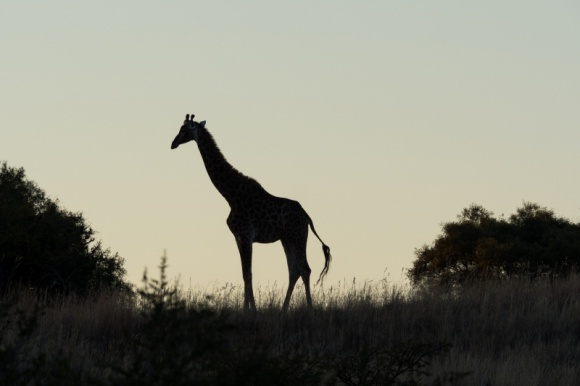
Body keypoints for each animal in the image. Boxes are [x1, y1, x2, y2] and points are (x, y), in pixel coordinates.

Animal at [171, 113, 330, 312]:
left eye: (184, 130)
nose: (173, 143)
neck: (230, 194)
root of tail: (307, 217)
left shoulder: (246, 235)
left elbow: (248, 273)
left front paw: (250, 311)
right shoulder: (239, 237)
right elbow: (245, 273)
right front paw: (247, 309)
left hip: (297, 236)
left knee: (305, 269)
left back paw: (309, 309)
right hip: (286, 239)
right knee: (294, 271)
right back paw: (283, 310)